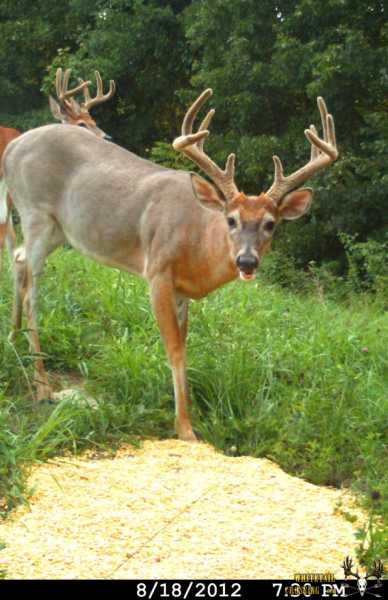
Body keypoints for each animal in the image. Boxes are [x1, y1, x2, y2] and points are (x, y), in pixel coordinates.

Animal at [2, 90, 336, 440]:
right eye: (231, 219)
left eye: (270, 224)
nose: (246, 260)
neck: (198, 241)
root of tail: (12, 148)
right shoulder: (158, 272)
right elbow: (174, 348)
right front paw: (185, 428)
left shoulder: (182, 292)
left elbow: (185, 349)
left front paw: (185, 414)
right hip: (35, 210)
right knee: (32, 289)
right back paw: (41, 384)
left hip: (57, 228)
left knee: (19, 260)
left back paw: (12, 341)